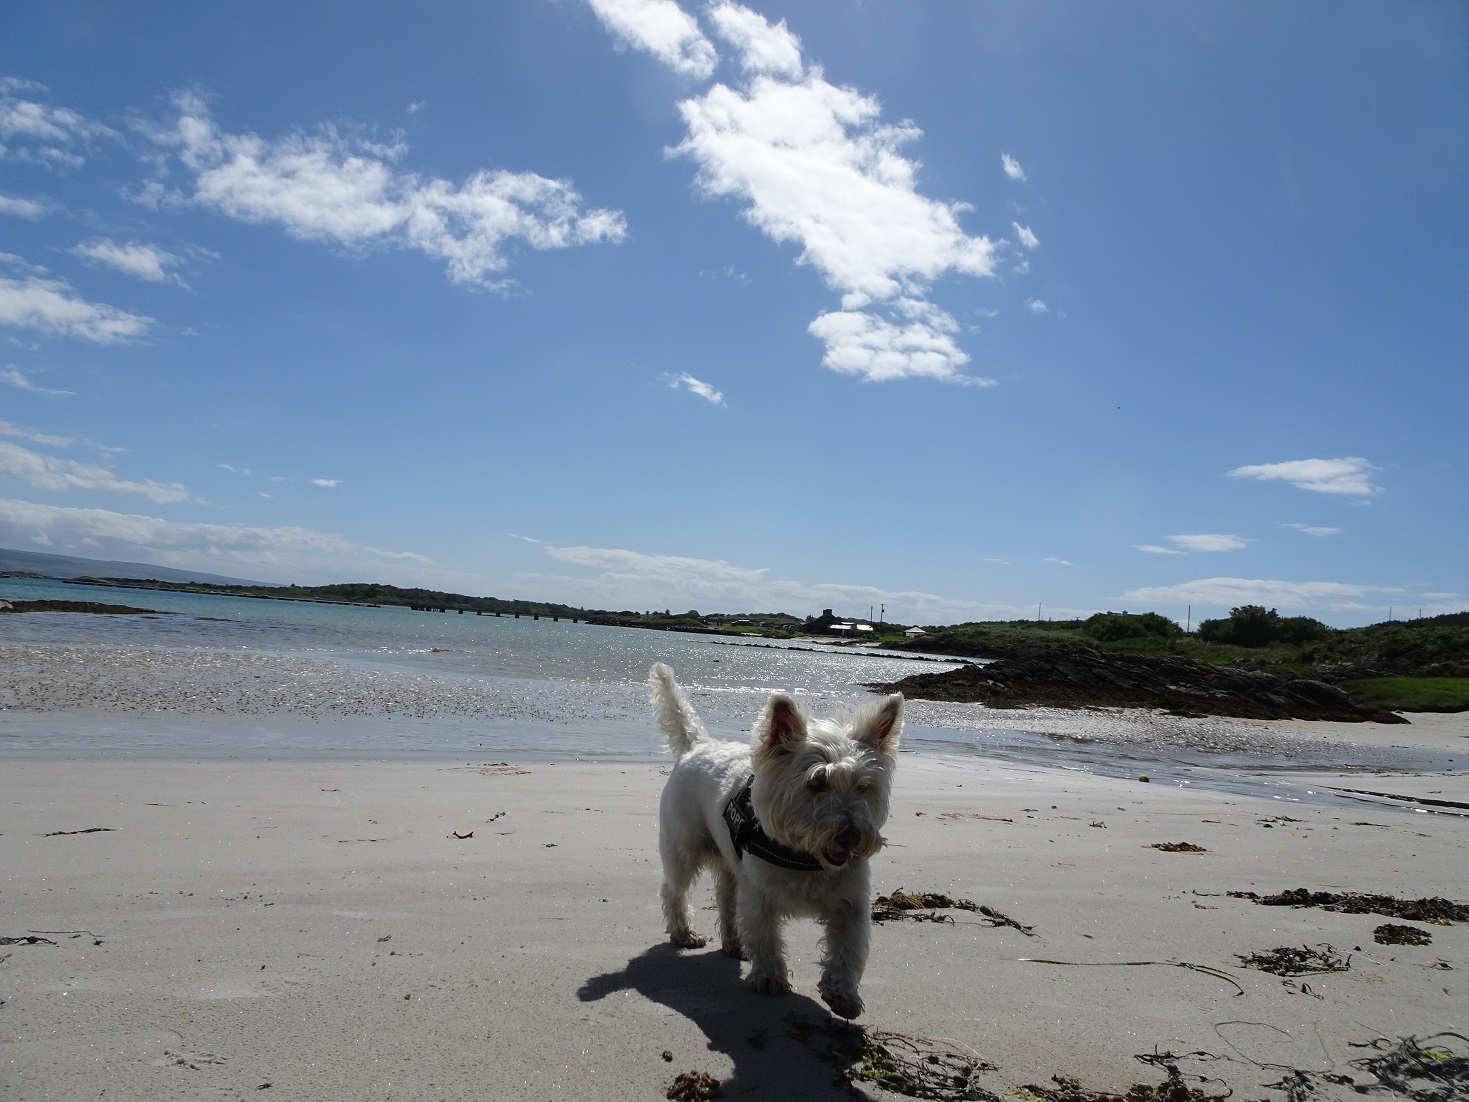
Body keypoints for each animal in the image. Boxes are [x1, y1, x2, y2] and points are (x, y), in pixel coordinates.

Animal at [649, 661, 899, 1022]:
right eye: (816, 783)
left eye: (863, 786)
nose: (851, 837)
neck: (807, 858)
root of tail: (698, 745)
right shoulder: (759, 893)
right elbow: (764, 934)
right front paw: (769, 977)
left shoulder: (851, 903)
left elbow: (849, 948)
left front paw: (843, 994)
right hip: (684, 848)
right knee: (674, 890)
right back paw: (684, 933)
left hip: (730, 861)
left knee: (725, 897)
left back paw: (733, 942)